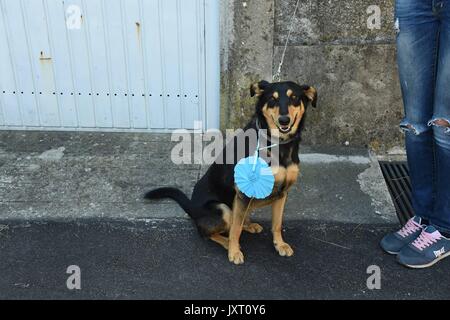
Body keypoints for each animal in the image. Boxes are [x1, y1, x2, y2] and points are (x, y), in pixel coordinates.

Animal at [144, 80, 316, 264]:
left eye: (294, 97)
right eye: (272, 99)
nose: (284, 120)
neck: (278, 144)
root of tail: (192, 207)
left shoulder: (282, 192)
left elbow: (277, 224)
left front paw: (280, 244)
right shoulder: (243, 192)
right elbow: (235, 229)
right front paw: (234, 251)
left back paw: (249, 225)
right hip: (223, 209)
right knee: (208, 231)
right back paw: (227, 242)